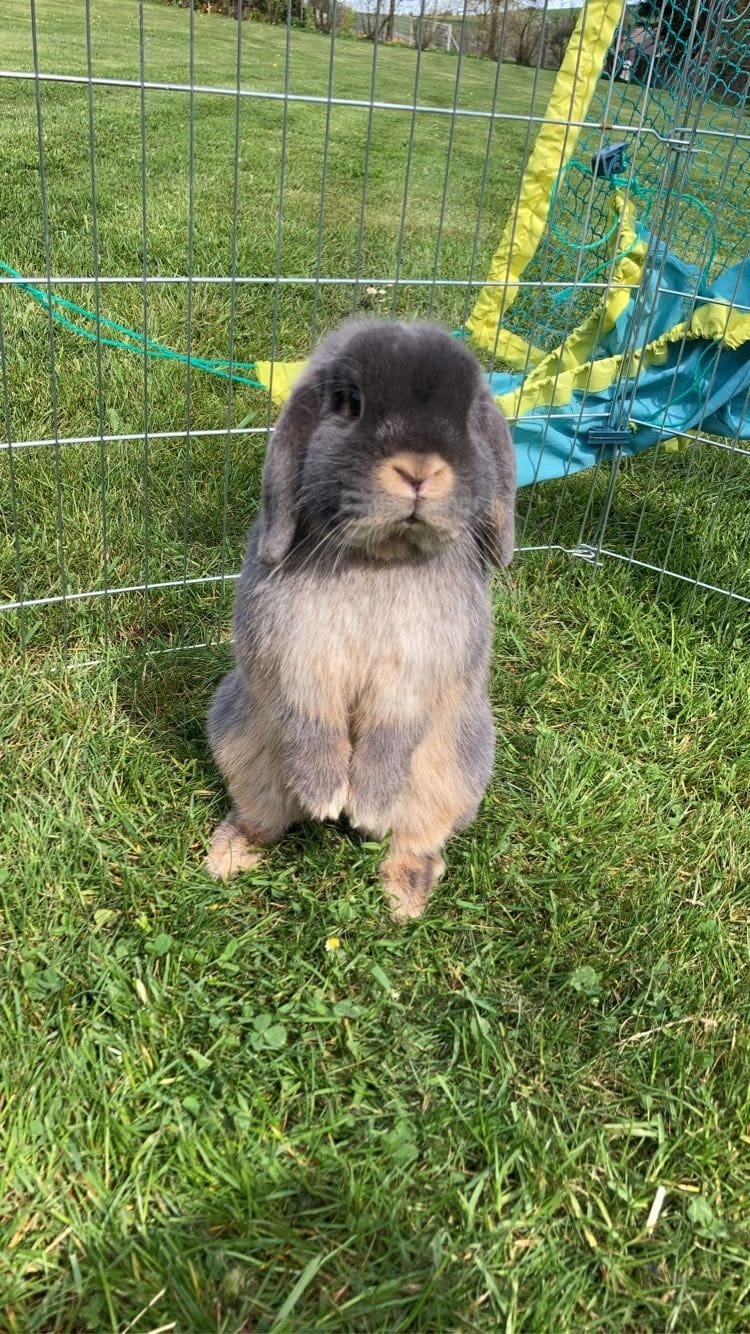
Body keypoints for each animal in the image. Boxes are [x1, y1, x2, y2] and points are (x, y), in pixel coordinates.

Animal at [205, 318, 516, 921]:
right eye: (350, 402)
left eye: (470, 414)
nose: (419, 470)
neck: (382, 557)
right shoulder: (296, 661)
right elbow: (311, 721)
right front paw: (327, 795)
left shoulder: (415, 675)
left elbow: (391, 735)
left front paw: (366, 805)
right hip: (239, 741)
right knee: (264, 816)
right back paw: (227, 856)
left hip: (454, 771)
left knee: (418, 838)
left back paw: (404, 897)